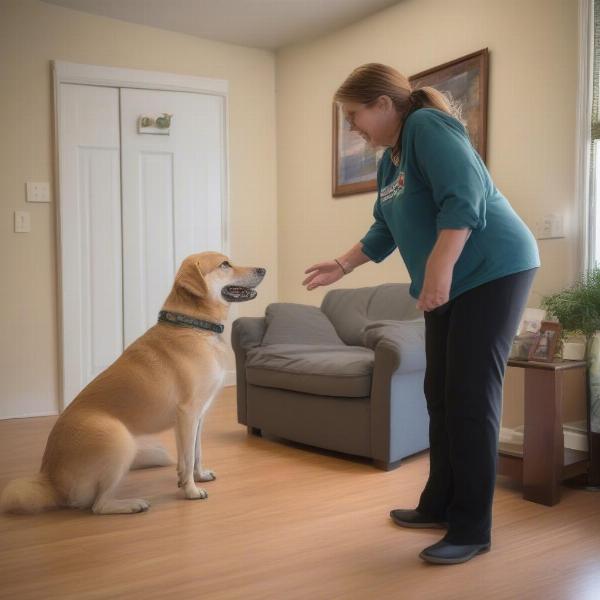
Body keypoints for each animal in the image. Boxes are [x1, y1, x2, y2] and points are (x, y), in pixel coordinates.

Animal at [0, 251, 268, 512]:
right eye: (225, 264)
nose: (263, 269)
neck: (195, 326)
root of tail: (50, 479)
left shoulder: (193, 418)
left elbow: (194, 453)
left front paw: (195, 477)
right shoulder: (188, 413)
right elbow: (189, 456)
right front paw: (191, 491)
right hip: (120, 441)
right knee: (98, 505)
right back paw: (131, 504)